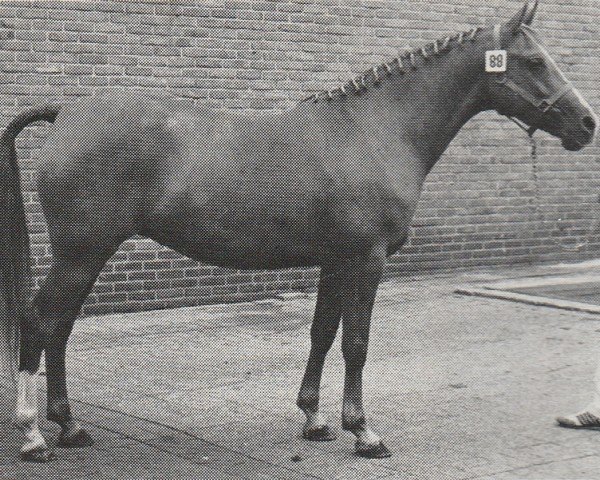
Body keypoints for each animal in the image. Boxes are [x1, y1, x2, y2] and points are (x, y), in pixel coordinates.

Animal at [1, 0, 596, 464]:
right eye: (534, 60)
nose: (587, 124)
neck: (374, 129)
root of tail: (67, 114)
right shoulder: (367, 260)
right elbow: (356, 342)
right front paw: (364, 432)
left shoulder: (337, 260)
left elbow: (322, 333)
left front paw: (314, 421)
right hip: (81, 253)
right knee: (38, 324)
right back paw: (33, 435)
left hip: (88, 256)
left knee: (59, 329)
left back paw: (71, 427)